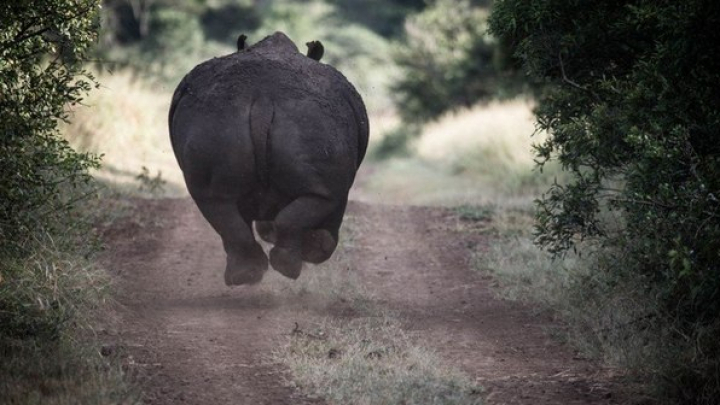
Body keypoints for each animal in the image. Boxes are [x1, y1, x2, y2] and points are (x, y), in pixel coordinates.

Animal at [169, 30, 368, 284]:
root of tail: (262, 98)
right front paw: (311, 248)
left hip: (215, 120)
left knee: (212, 199)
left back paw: (246, 275)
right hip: (309, 121)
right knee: (325, 196)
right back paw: (286, 265)